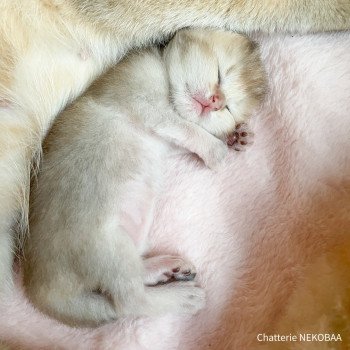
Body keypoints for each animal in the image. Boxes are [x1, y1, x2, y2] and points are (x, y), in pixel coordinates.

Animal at [23, 28, 266, 326]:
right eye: (222, 72)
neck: (163, 69)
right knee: (131, 303)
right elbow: (184, 127)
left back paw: (163, 267)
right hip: (106, 248)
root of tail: (40, 292)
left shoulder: (168, 137)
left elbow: (186, 134)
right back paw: (181, 297)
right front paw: (216, 148)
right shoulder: (144, 101)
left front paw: (235, 137)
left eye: (229, 108)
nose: (216, 101)